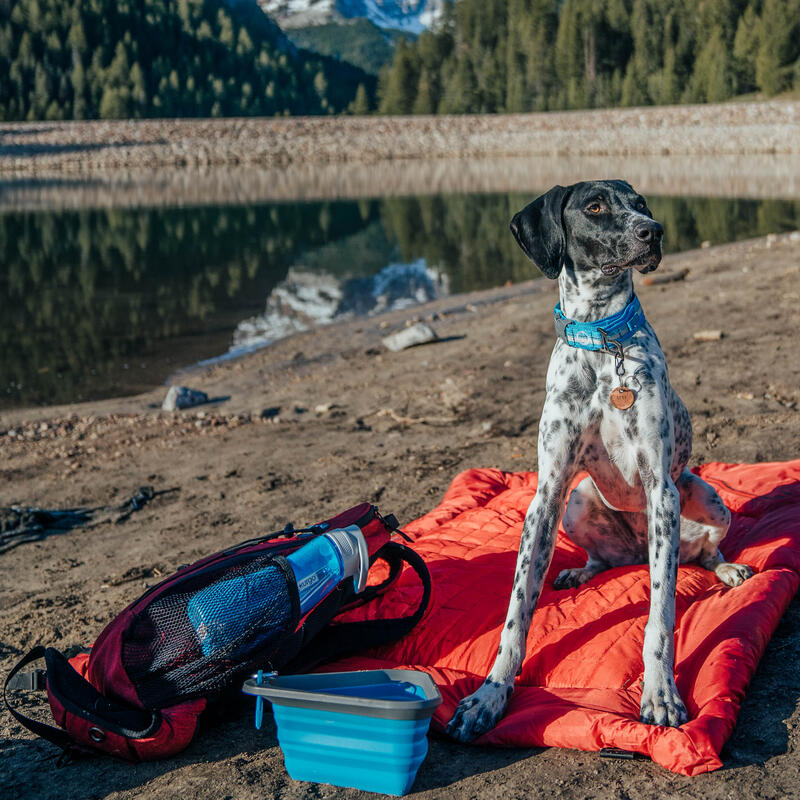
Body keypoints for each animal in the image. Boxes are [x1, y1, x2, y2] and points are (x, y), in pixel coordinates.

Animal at [446, 181, 752, 744]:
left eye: (643, 204)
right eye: (595, 206)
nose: (654, 231)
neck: (600, 336)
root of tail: (633, 549)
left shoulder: (661, 491)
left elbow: (660, 616)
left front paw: (660, 694)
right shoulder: (546, 497)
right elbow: (516, 614)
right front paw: (489, 696)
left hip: (705, 496)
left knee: (703, 554)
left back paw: (728, 569)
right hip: (579, 503)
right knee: (604, 558)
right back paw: (580, 571)